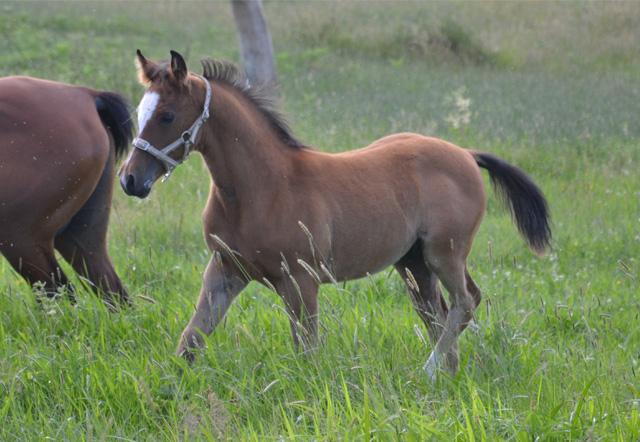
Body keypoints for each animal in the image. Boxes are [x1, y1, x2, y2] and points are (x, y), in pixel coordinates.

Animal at [121, 50, 552, 378]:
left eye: (167, 116)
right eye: (139, 113)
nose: (129, 179)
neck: (261, 188)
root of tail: (465, 153)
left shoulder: (300, 279)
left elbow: (307, 348)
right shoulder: (225, 269)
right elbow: (191, 339)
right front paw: (168, 389)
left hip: (443, 253)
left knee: (464, 303)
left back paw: (429, 372)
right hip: (413, 263)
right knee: (438, 313)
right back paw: (448, 374)